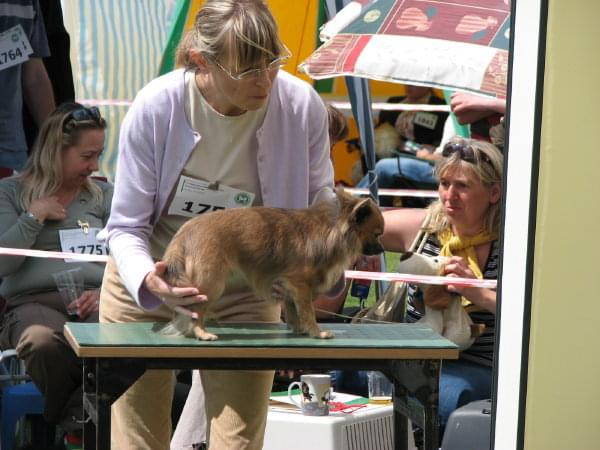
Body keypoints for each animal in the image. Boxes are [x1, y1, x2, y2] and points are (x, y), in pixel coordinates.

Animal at [162, 188, 382, 340]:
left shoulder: (290, 288)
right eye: (377, 234)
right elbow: (308, 311)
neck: (332, 229)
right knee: (196, 311)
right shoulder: (300, 284)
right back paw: (202, 333)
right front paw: (316, 332)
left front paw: (299, 329)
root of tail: (185, 232)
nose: (381, 249)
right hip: (211, 285)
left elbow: (294, 310)